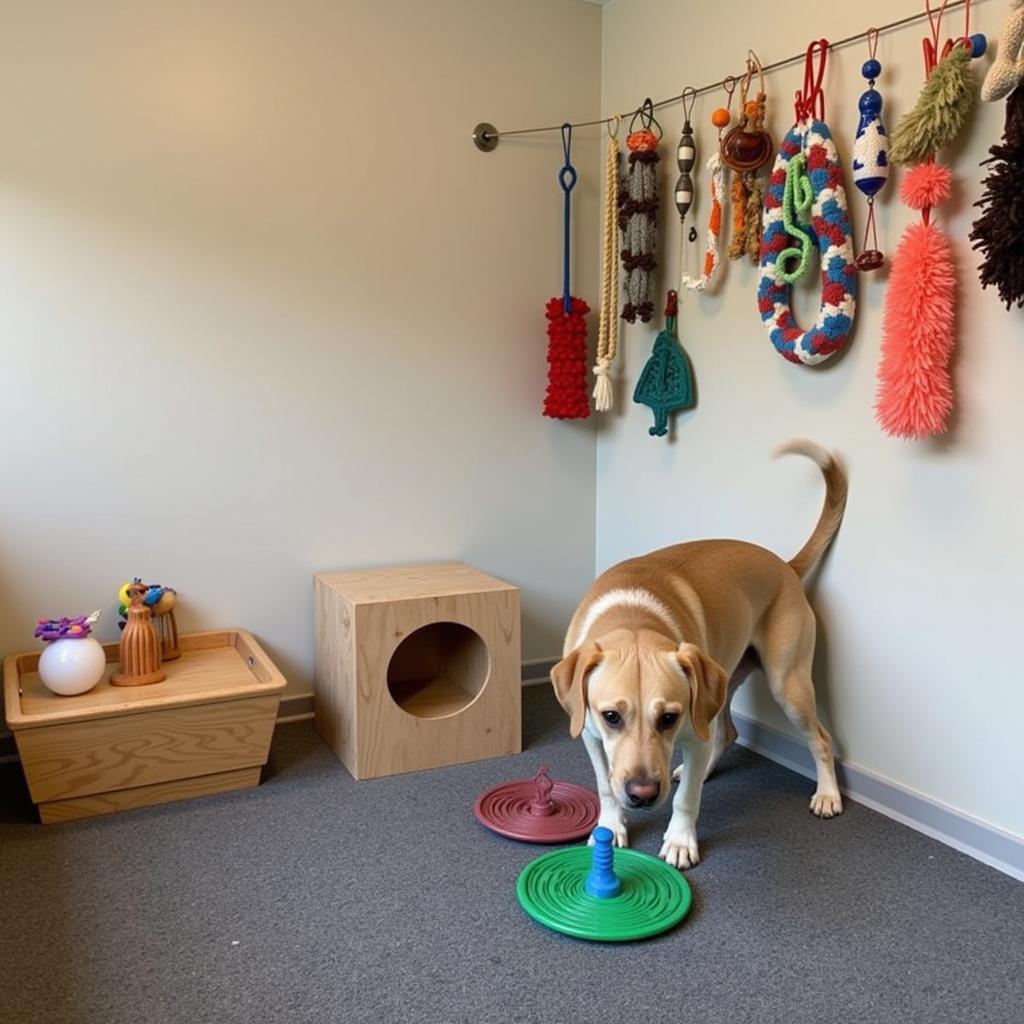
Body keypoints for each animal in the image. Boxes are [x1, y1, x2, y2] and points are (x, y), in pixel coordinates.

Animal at [552, 442, 847, 872]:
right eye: (611, 717)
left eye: (668, 718)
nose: (642, 793)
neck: (633, 615)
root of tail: (787, 567)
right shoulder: (590, 734)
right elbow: (606, 786)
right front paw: (610, 826)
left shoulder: (690, 726)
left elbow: (686, 799)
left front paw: (679, 840)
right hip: (721, 685)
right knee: (725, 733)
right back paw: (702, 769)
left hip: (787, 684)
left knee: (820, 739)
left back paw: (828, 794)